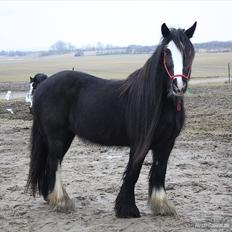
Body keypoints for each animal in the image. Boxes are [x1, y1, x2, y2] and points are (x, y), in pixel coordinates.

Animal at [26, 21, 198, 218]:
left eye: (189, 51)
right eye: (166, 52)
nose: (179, 86)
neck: (160, 103)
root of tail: (42, 86)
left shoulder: (167, 142)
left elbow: (160, 170)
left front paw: (161, 205)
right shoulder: (139, 143)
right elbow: (134, 171)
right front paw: (127, 209)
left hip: (65, 136)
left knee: (52, 163)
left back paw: (50, 197)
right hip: (56, 137)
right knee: (54, 163)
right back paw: (62, 201)